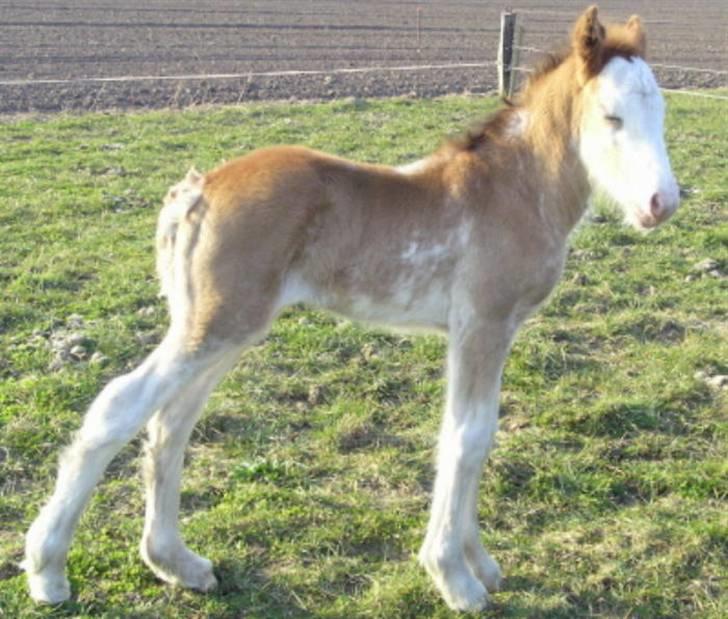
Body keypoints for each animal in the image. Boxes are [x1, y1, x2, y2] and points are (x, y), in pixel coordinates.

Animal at [24, 4, 684, 612]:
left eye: (661, 112)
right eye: (611, 116)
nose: (662, 203)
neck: (511, 190)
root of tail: (197, 189)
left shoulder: (482, 332)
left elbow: (472, 434)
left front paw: (480, 562)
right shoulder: (482, 324)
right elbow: (467, 436)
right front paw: (455, 578)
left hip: (227, 329)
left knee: (170, 424)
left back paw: (177, 564)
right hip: (214, 325)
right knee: (120, 405)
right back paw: (48, 572)